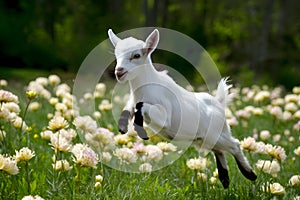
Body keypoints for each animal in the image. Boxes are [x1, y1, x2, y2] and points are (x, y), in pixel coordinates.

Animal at [107, 28, 255, 188]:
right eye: (116, 54)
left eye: (136, 55)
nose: (119, 71)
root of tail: (219, 102)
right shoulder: (132, 102)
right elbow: (128, 109)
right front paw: (123, 127)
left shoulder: (164, 115)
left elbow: (141, 107)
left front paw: (141, 131)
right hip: (207, 138)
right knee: (219, 151)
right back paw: (225, 179)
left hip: (216, 133)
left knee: (235, 145)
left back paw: (249, 174)